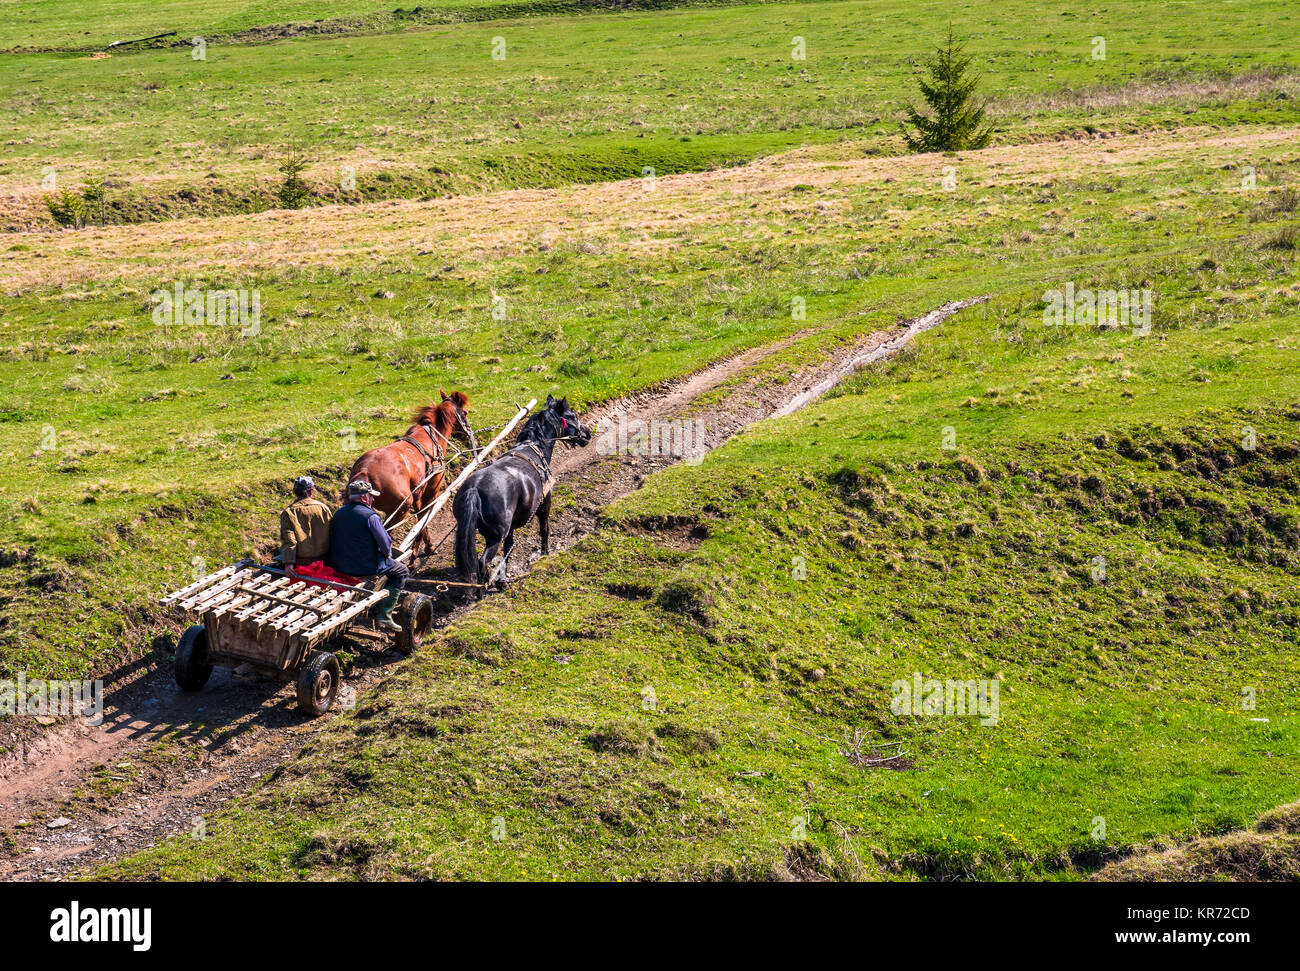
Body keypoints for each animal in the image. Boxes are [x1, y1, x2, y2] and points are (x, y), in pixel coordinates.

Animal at [346, 391, 477, 556]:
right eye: (465, 412)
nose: (469, 434)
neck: (432, 437)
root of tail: (365, 471)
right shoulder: (430, 493)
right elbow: (423, 518)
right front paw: (426, 548)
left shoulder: (417, 496)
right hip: (399, 510)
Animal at [453, 395, 591, 595]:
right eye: (572, 415)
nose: (587, 433)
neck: (534, 447)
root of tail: (475, 489)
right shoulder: (545, 504)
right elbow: (544, 530)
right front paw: (545, 554)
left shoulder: (511, 527)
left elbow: (509, 547)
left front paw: (504, 575)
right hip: (495, 536)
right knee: (482, 562)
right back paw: (482, 591)